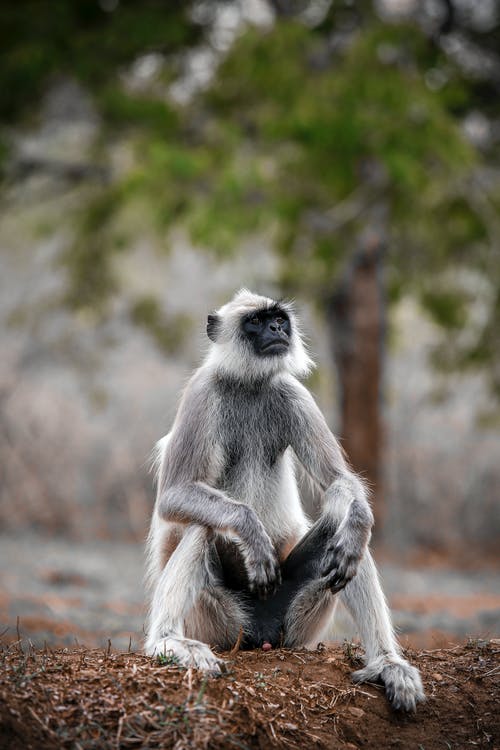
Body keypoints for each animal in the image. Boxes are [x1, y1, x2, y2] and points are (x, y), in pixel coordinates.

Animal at [146, 286, 426, 712]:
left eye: (279, 320)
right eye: (256, 321)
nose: (277, 330)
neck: (248, 383)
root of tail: (263, 637)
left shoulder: (294, 393)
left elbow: (339, 483)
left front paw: (357, 522)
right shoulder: (202, 391)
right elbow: (174, 496)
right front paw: (251, 531)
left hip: (297, 624)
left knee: (344, 529)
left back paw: (386, 662)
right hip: (220, 621)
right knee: (202, 525)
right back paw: (167, 641)